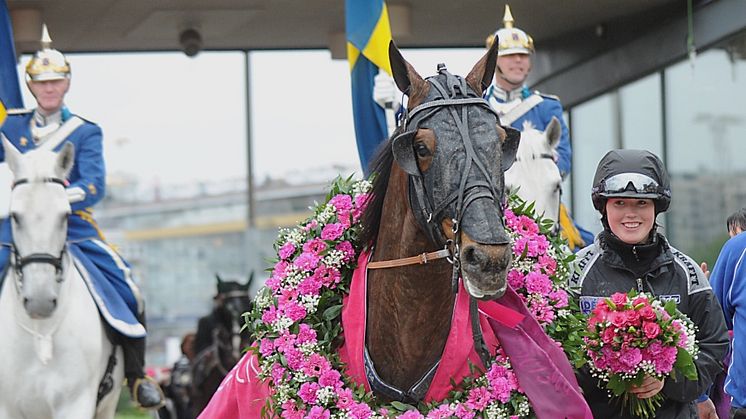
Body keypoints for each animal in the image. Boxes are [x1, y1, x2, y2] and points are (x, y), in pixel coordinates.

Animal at [0, 140, 123, 419]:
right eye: (14, 216)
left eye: (65, 215)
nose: (40, 301)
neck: (40, 332)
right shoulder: (6, 407)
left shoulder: (75, 403)